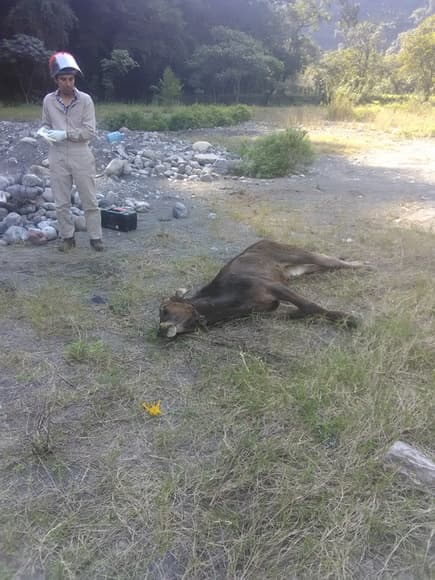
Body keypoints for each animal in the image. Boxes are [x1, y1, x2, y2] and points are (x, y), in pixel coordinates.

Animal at [158, 240, 370, 340]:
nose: (159, 331)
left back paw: (365, 264)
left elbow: (311, 307)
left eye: (164, 309)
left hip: (298, 254)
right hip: (299, 270)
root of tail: (263, 241)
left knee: (332, 261)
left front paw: (348, 319)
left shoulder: (274, 287)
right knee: (326, 265)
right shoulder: (271, 308)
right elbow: (305, 312)